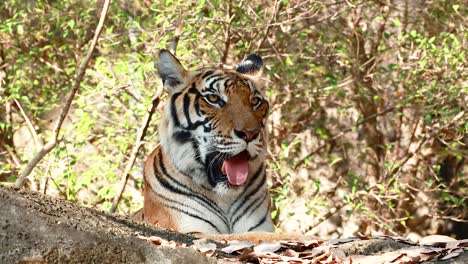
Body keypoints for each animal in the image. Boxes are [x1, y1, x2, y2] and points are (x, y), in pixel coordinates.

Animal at [141, 48, 276, 234]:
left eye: (255, 101)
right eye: (213, 99)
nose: (250, 134)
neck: (225, 197)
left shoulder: (261, 227)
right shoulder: (195, 230)